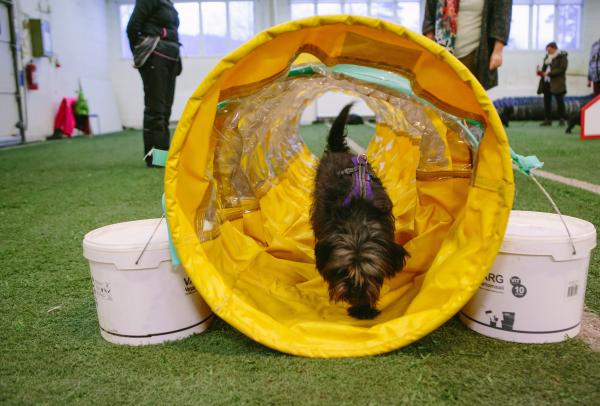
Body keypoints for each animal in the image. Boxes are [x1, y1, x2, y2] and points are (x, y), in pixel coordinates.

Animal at [310, 103, 409, 320]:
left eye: (372, 274)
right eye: (342, 271)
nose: (355, 291)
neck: (358, 220)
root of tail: (339, 151)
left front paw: (364, 308)